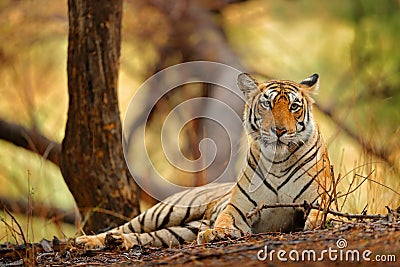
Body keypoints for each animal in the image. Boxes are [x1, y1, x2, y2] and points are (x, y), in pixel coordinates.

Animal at [75, 73, 332, 249]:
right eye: (267, 104)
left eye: (294, 106)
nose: (279, 131)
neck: (278, 160)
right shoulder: (239, 208)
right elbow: (226, 219)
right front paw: (216, 233)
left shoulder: (320, 199)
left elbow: (321, 215)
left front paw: (319, 224)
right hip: (166, 210)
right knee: (128, 226)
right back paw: (86, 241)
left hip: (179, 231)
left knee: (148, 237)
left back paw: (118, 242)